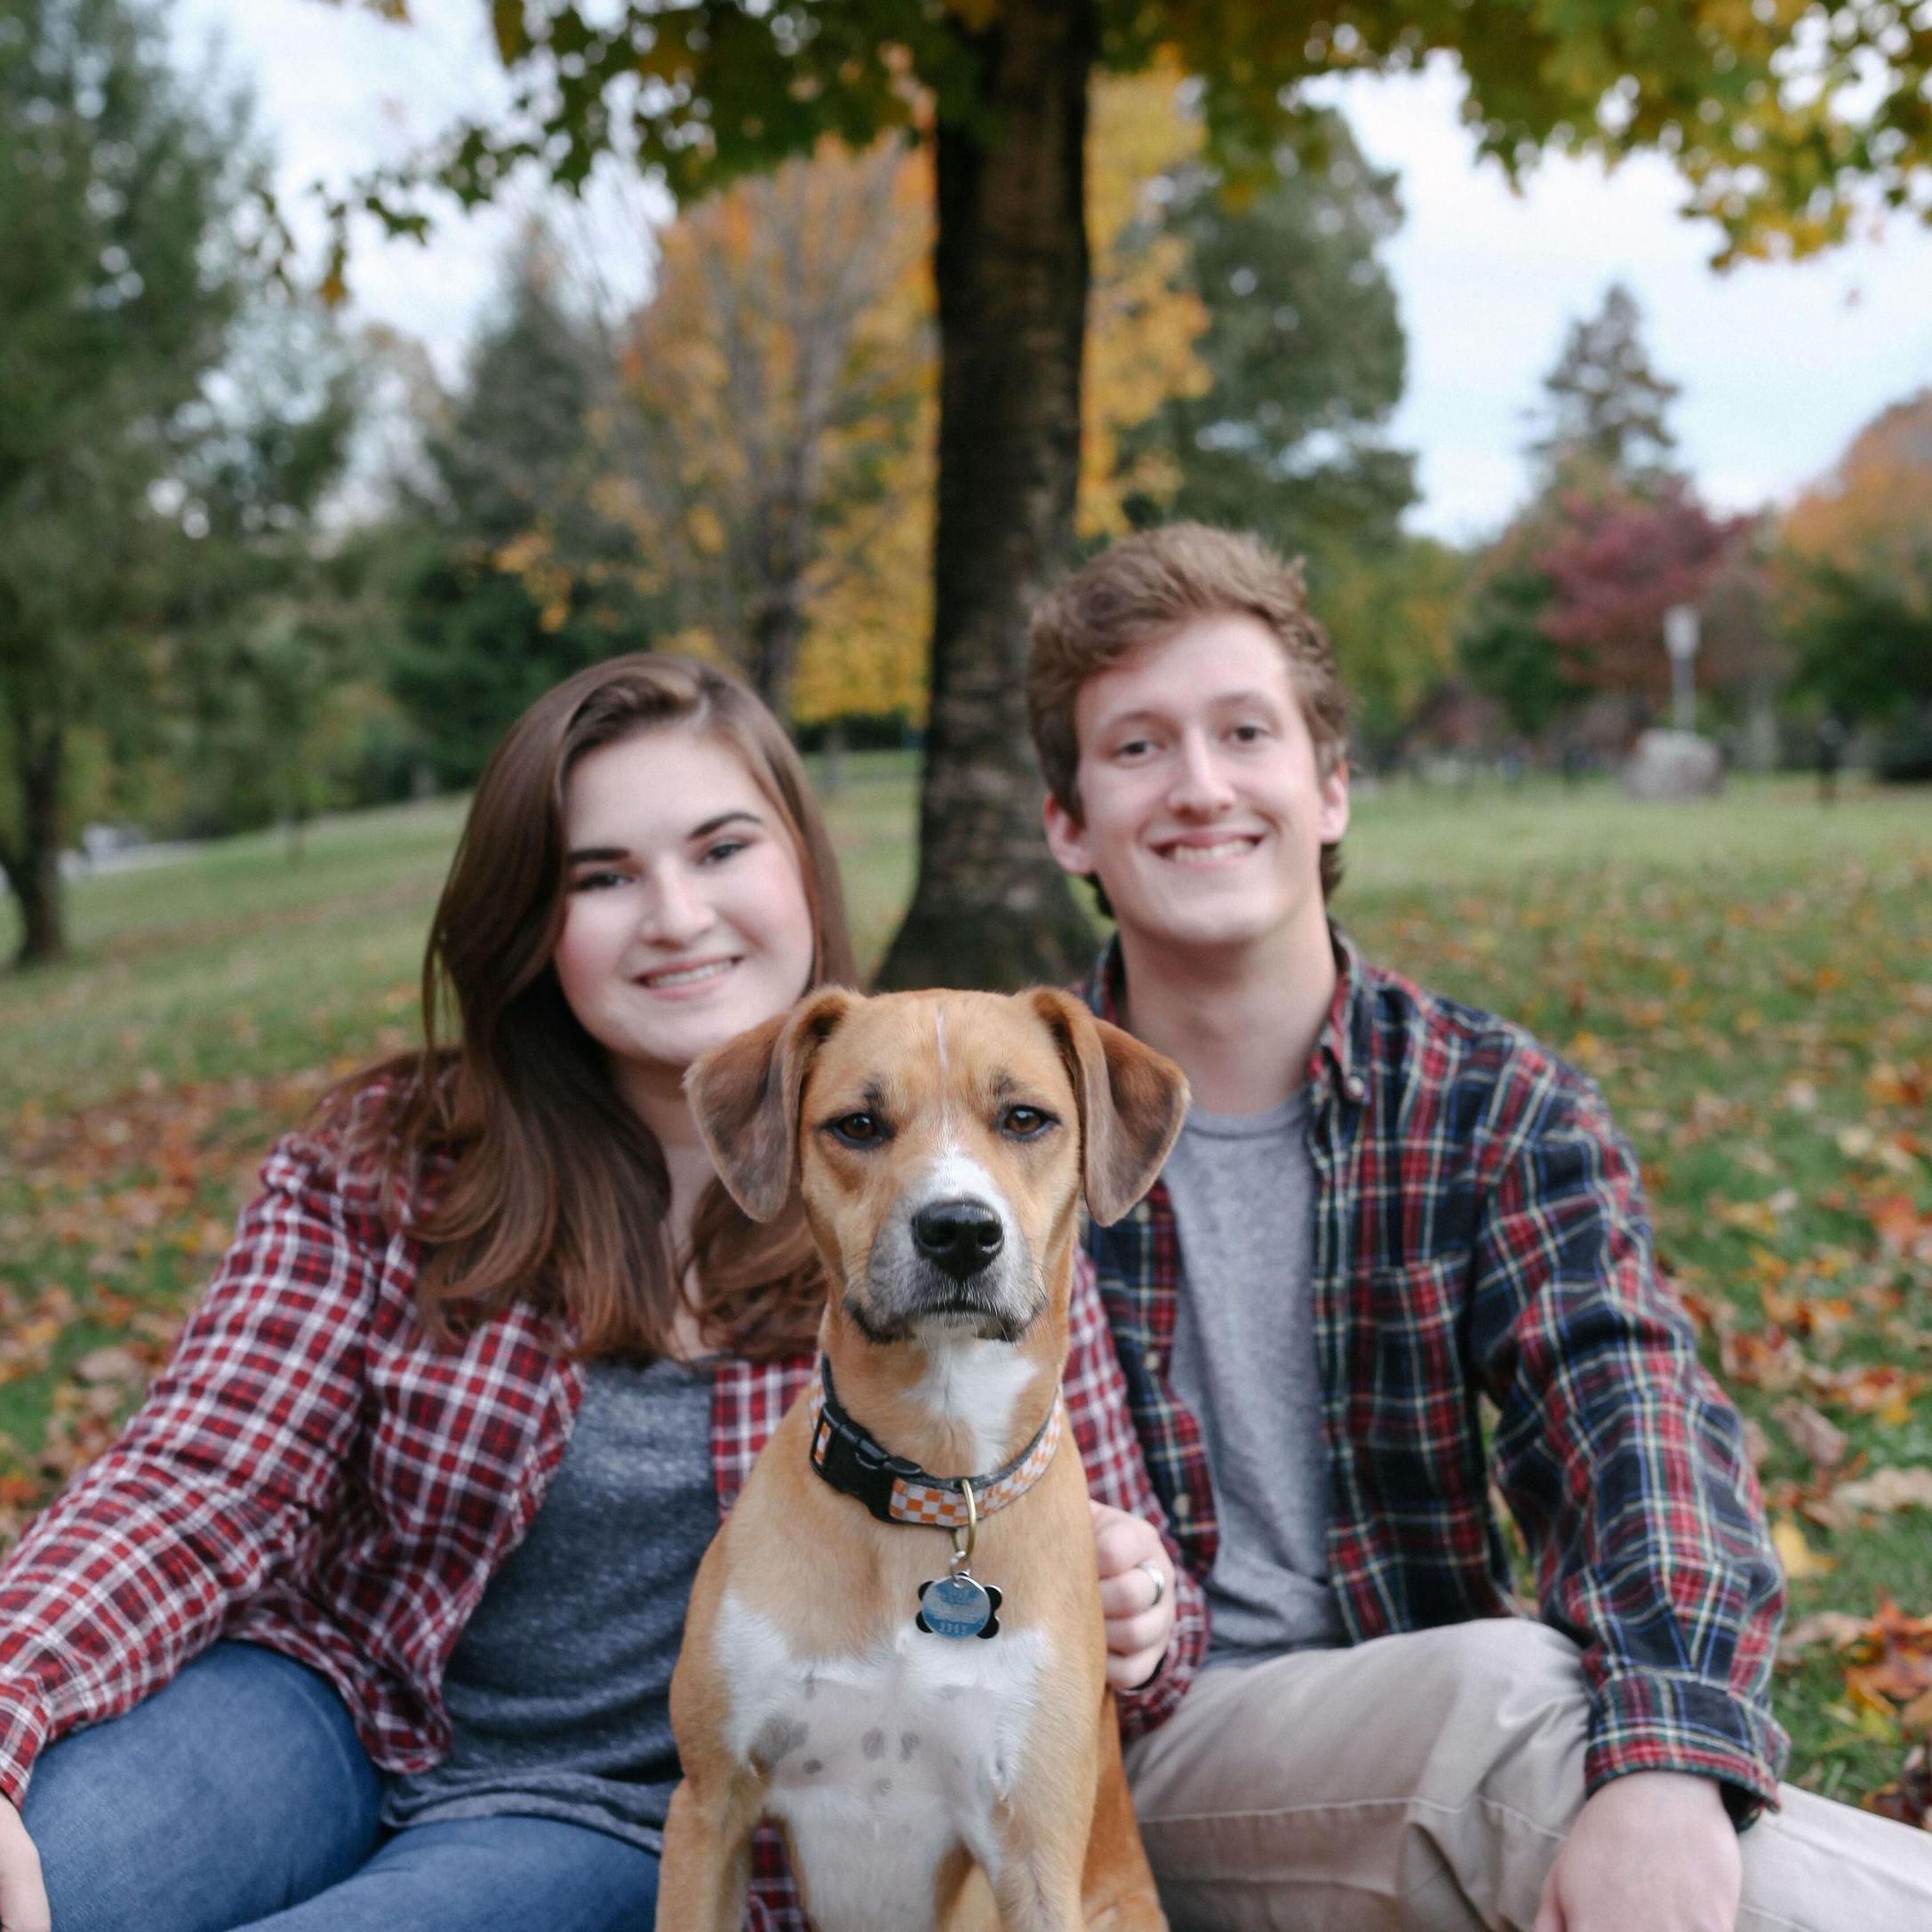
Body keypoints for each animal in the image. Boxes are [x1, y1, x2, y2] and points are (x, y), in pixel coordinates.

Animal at [660, 989, 1190, 1924]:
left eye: (1026, 1118)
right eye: (859, 1124)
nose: (959, 1230)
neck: (936, 1488)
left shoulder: (1035, 1852)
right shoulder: (708, 1806)